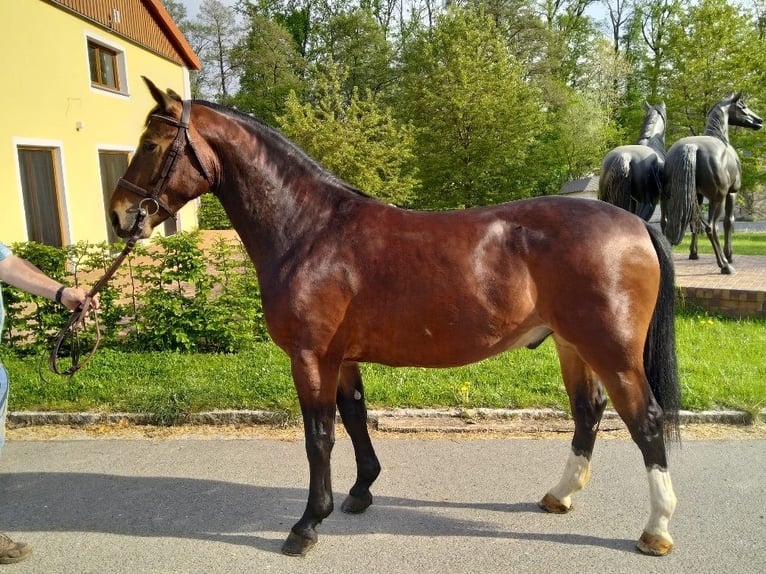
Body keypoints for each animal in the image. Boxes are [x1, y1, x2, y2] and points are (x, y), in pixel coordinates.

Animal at [110, 77, 682, 557]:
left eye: (153, 145)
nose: (120, 215)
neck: (310, 230)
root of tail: (634, 222)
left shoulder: (309, 357)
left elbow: (319, 437)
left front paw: (307, 525)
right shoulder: (340, 358)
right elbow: (354, 417)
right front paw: (361, 491)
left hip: (611, 350)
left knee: (646, 421)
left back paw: (656, 529)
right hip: (572, 345)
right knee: (589, 412)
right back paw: (560, 495)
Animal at [662, 92, 763, 274]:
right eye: (742, 106)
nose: (759, 120)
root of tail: (692, 147)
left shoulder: (698, 196)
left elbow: (694, 224)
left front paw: (693, 253)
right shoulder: (731, 193)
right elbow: (729, 222)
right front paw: (729, 255)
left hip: (670, 198)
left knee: (670, 225)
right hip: (718, 199)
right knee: (712, 228)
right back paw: (725, 265)